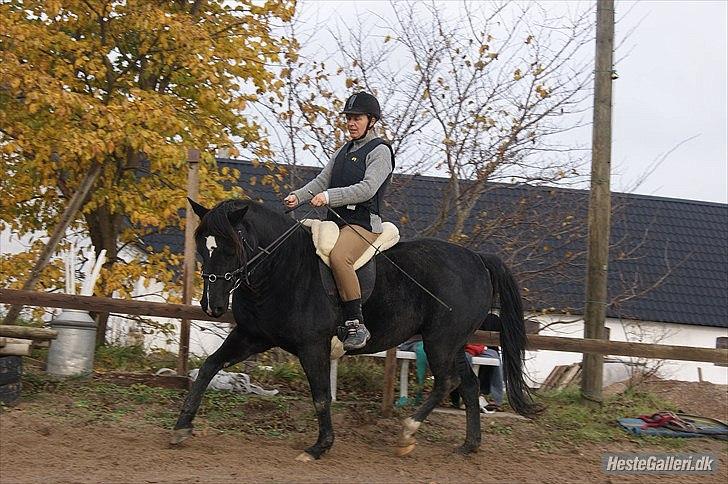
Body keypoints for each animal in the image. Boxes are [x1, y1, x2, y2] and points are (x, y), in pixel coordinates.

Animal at [171, 199, 536, 460]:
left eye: (232, 245)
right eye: (202, 246)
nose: (212, 305)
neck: (281, 269)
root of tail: (477, 258)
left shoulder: (312, 347)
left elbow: (321, 397)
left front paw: (319, 447)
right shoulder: (252, 336)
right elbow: (209, 367)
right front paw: (182, 426)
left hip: (440, 341)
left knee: (448, 382)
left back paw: (408, 433)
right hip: (454, 343)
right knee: (470, 385)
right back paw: (468, 446)